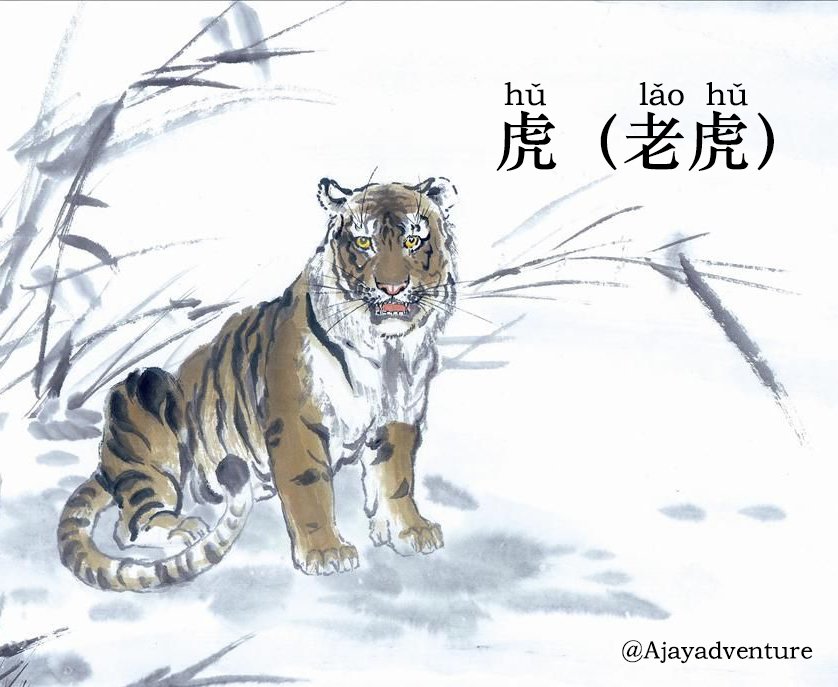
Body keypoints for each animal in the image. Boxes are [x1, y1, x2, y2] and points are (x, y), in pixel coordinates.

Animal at [57, 176, 458, 591]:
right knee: (131, 523)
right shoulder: (296, 423)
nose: (392, 288)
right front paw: (326, 553)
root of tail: (105, 461)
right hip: (145, 395)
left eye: (412, 241)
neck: (387, 350)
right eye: (364, 243)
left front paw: (410, 531)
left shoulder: (398, 417)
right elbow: (309, 488)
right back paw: (183, 529)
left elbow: (397, 480)